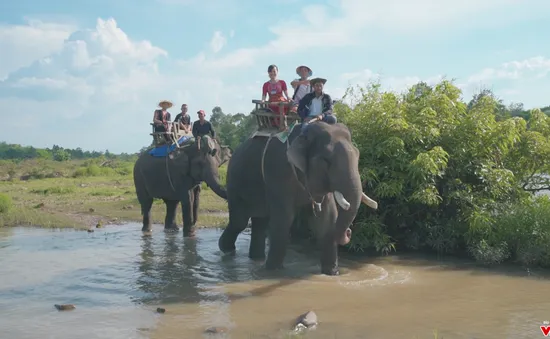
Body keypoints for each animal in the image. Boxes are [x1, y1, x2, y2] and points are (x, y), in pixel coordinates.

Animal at [219, 122, 380, 276]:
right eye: (326, 160)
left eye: (358, 156)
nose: (349, 233)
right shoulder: (278, 172)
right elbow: (284, 218)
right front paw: (273, 272)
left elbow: (326, 218)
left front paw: (332, 274)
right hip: (234, 183)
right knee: (239, 221)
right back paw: (226, 251)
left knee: (260, 222)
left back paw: (256, 259)